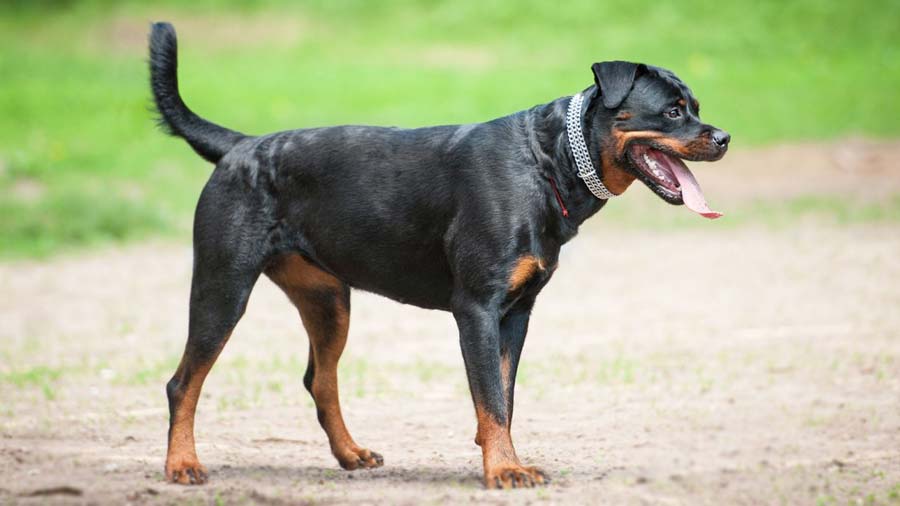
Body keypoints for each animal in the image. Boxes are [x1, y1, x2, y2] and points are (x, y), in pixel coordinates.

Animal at [151, 21, 732, 488]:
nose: (724, 136)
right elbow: (492, 396)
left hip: (329, 300)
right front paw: (504, 470)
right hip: (224, 285)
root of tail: (241, 146)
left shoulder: (517, 313)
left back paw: (351, 454)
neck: (550, 161)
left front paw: (501, 458)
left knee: (319, 379)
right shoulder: (476, 307)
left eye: (697, 108)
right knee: (184, 382)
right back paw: (182, 464)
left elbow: (503, 396)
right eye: (673, 111)